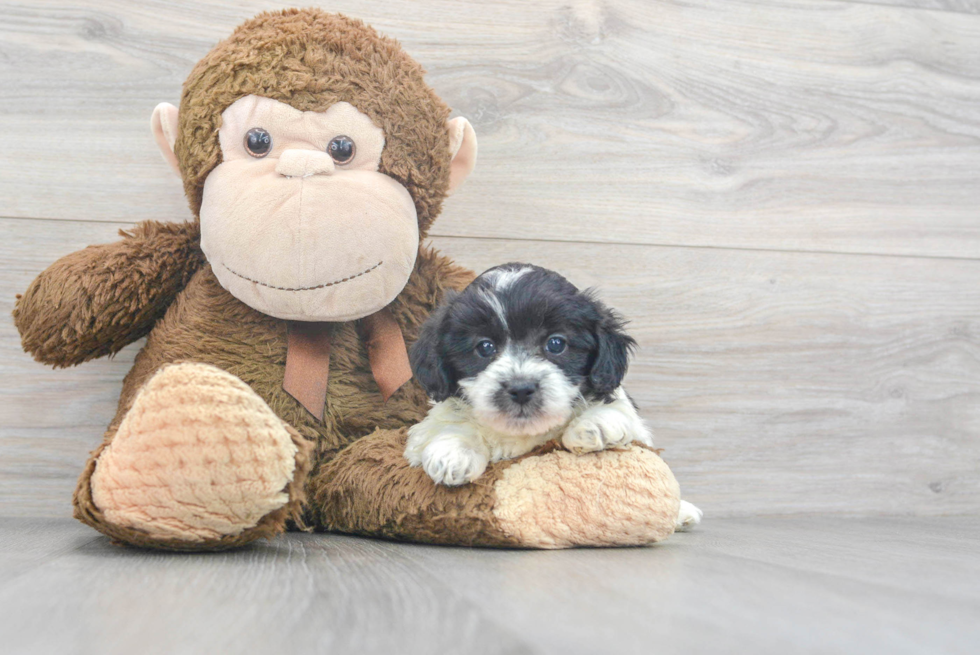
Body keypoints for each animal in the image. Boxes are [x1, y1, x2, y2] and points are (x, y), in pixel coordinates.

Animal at [406, 262, 704, 528]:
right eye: (485, 347)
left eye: (556, 343)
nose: (521, 388)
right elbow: (448, 423)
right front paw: (454, 452)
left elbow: (618, 410)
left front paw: (595, 423)